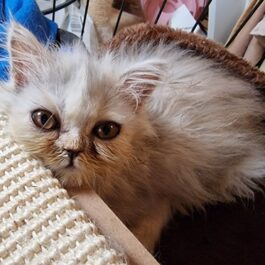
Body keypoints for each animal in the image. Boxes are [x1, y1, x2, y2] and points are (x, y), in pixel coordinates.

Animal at [1, 21, 264, 252]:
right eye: (44, 119)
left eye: (105, 131)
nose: (72, 150)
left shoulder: (168, 189)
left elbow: (152, 222)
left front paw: (141, 241)